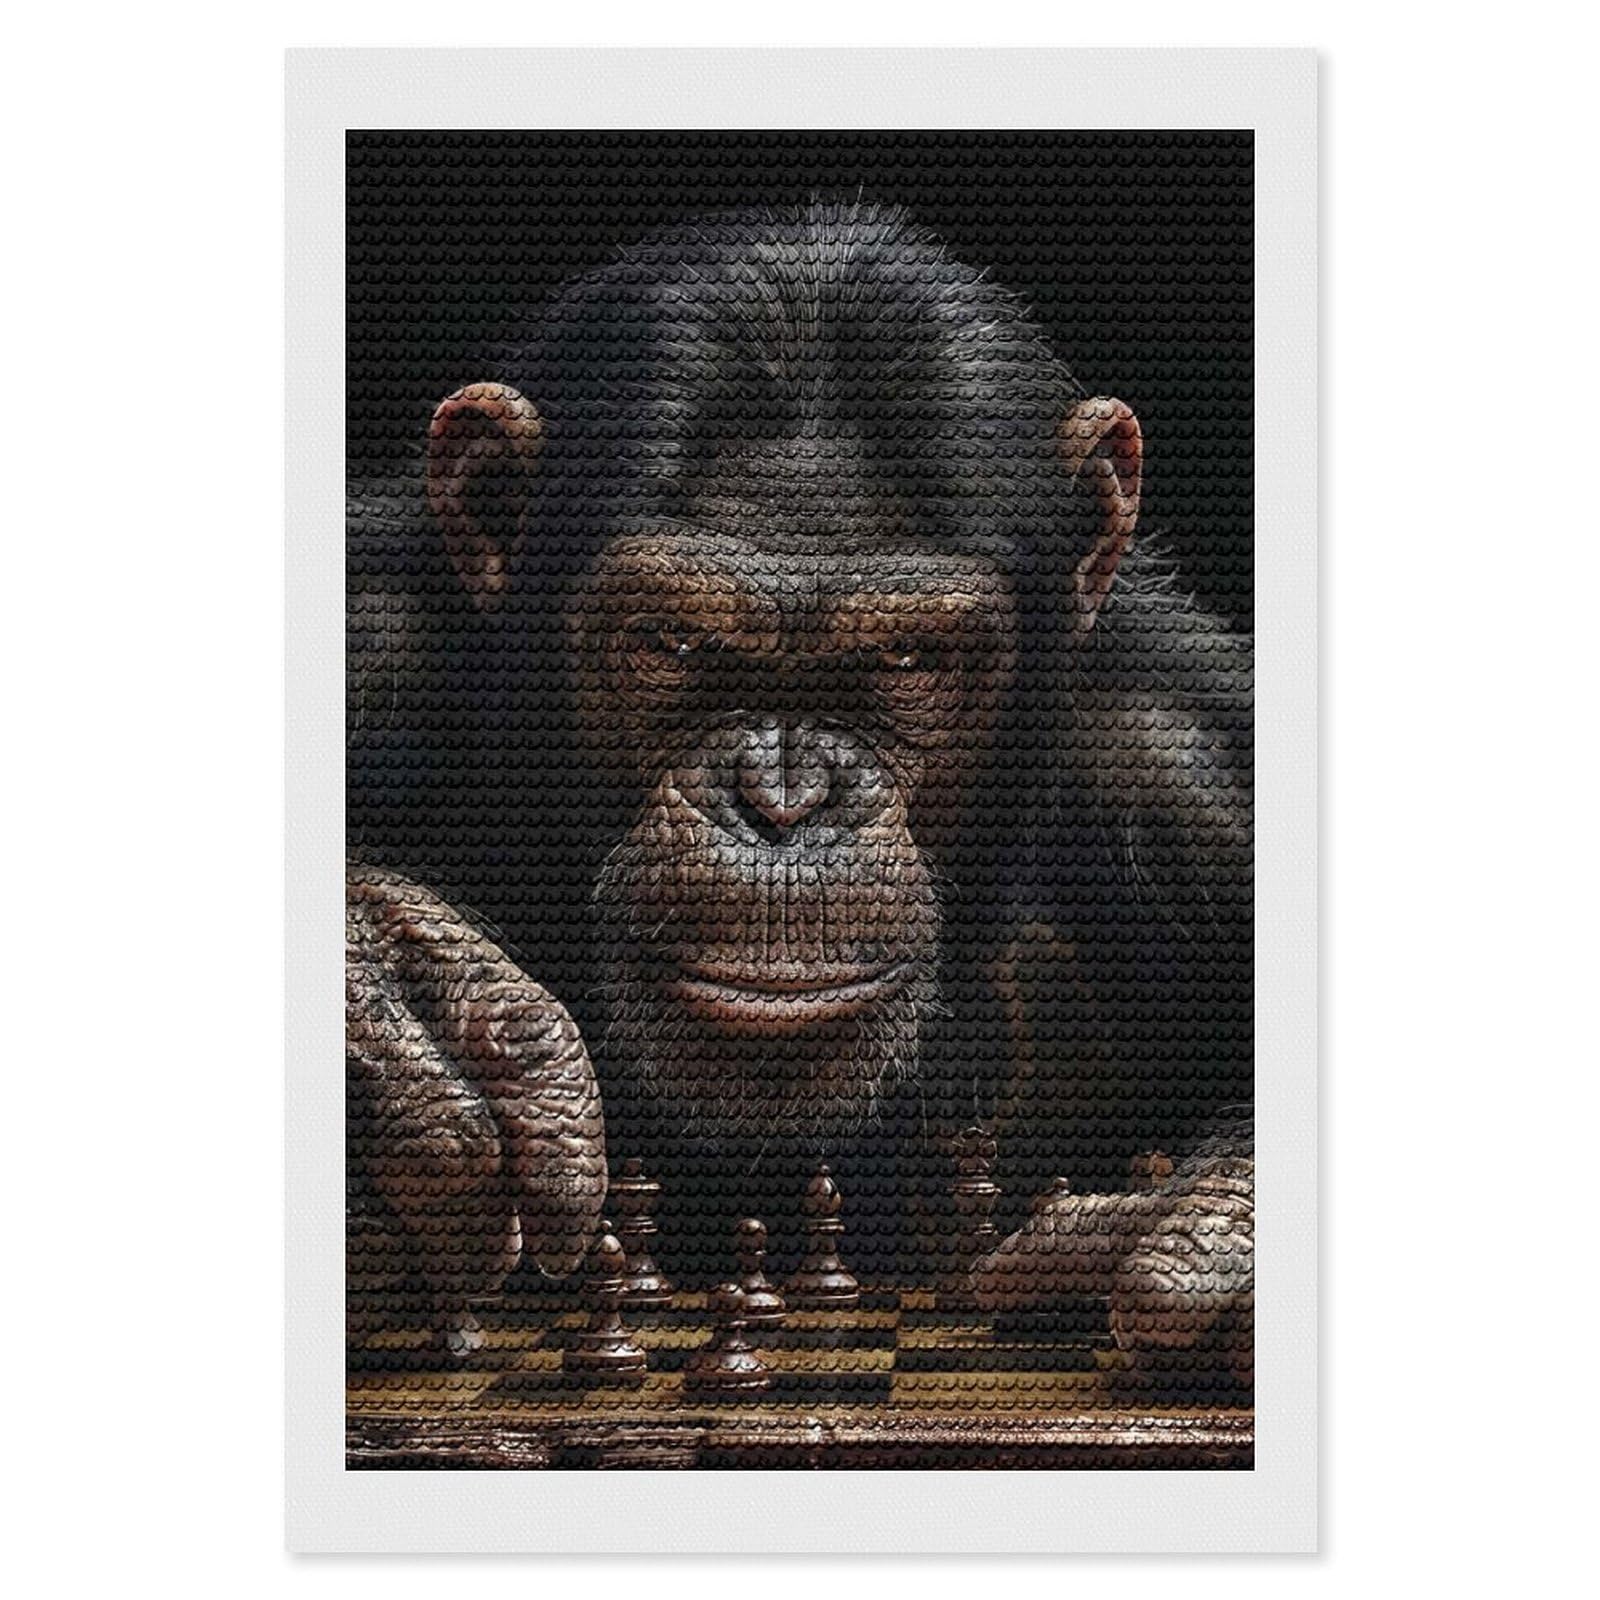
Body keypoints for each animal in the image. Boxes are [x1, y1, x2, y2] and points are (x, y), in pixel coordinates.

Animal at [346, 202, 1252, 1375]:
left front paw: (1206, 1236)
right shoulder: (365, 644)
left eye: (906, 658)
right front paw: (397, 1004)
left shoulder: (1201, 786)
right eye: (672, 641)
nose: (783, 798)